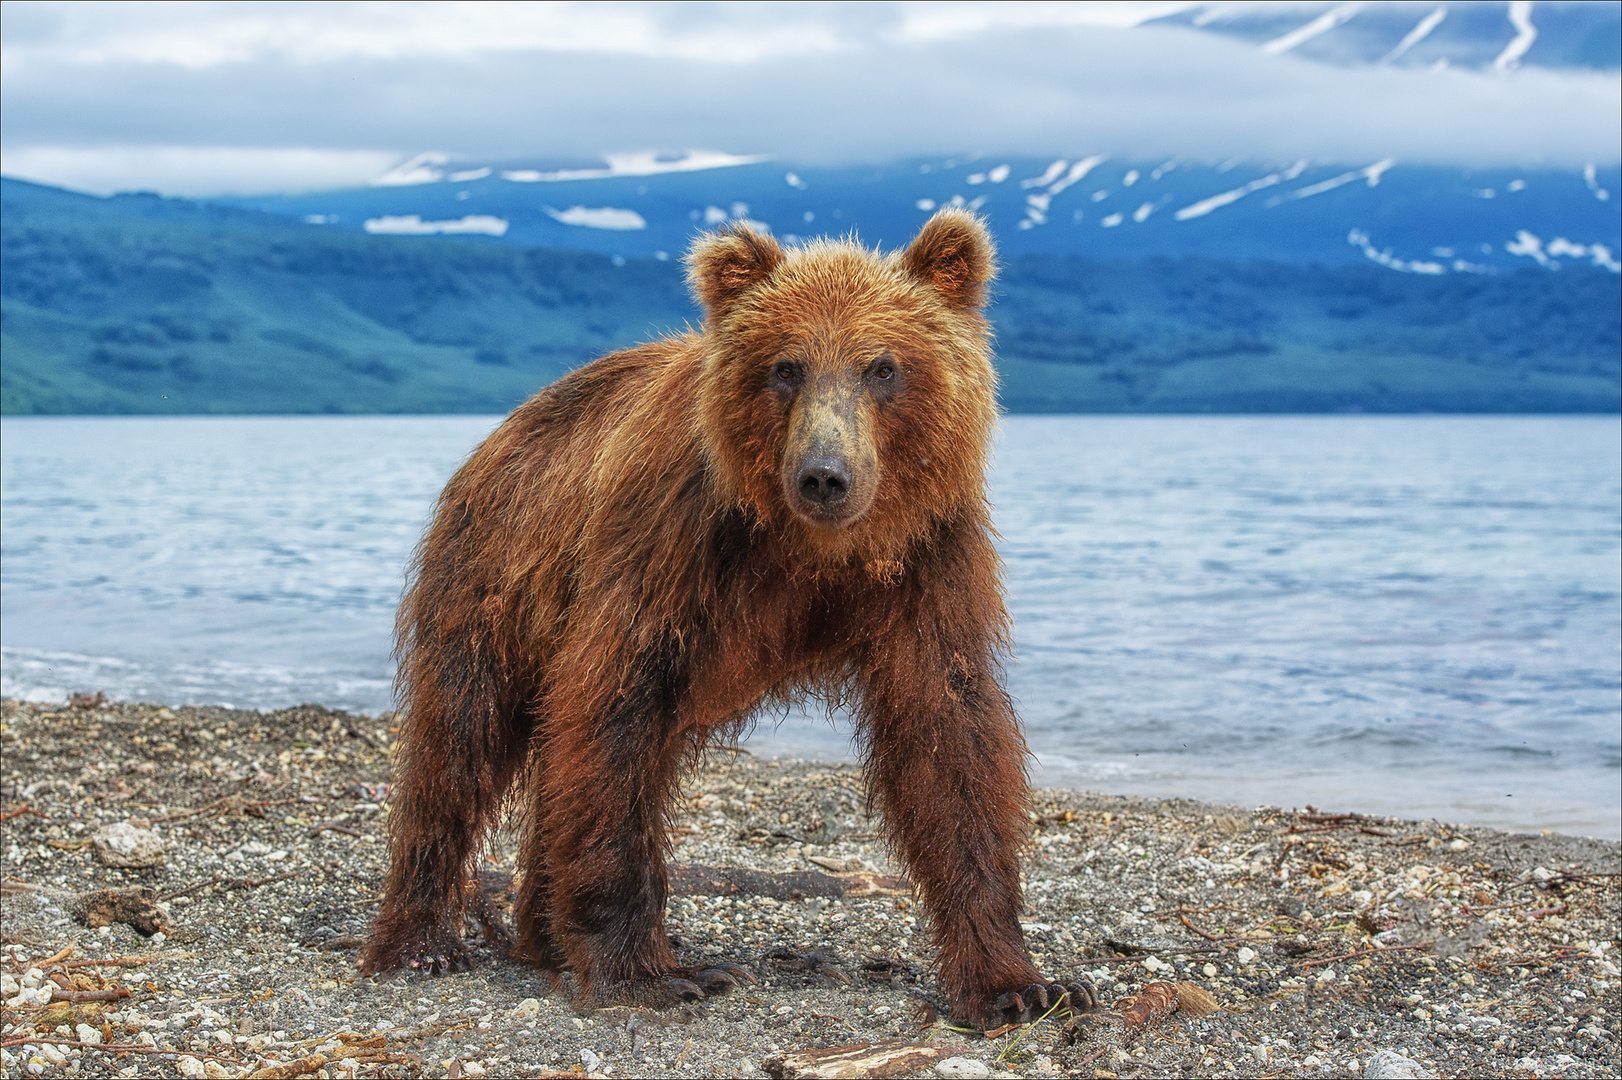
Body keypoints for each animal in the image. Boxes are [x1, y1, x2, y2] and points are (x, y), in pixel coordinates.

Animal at [361, 205, 1096, 1024]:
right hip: (495, 577)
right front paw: (650, 973)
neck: (812, 551)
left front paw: (1017, 985)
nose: (824, 476)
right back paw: (423, 940)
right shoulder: (671, 542)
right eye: (786, 366)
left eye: (882, 366)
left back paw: (544, 937)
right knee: (462, 743)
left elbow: (950, 736)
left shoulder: (929, 559)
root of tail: (502, 433)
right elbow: (613, 708)